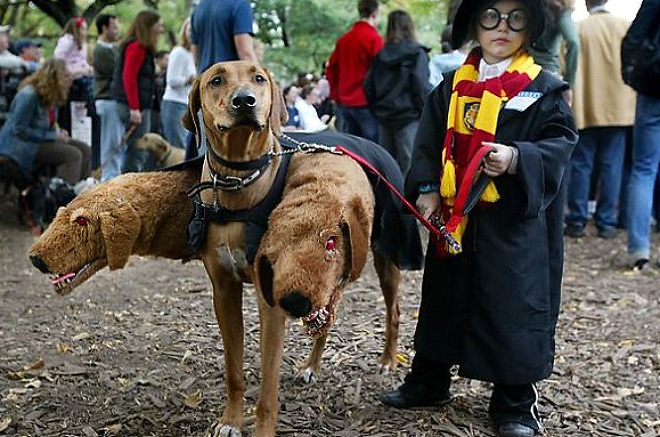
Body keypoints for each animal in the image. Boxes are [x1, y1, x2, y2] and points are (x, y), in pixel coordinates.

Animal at [182, 61, 402, 436]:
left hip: (385, 258)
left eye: (258, 78)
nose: (245, 101)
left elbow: (268, 388)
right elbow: (233, 369)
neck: (238, 183)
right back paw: (311, 365)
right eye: (216, 80)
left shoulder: (270, 297)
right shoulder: (224, 291)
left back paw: (388, 359)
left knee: (393, 310)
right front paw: (231, 420)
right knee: (327, 315)